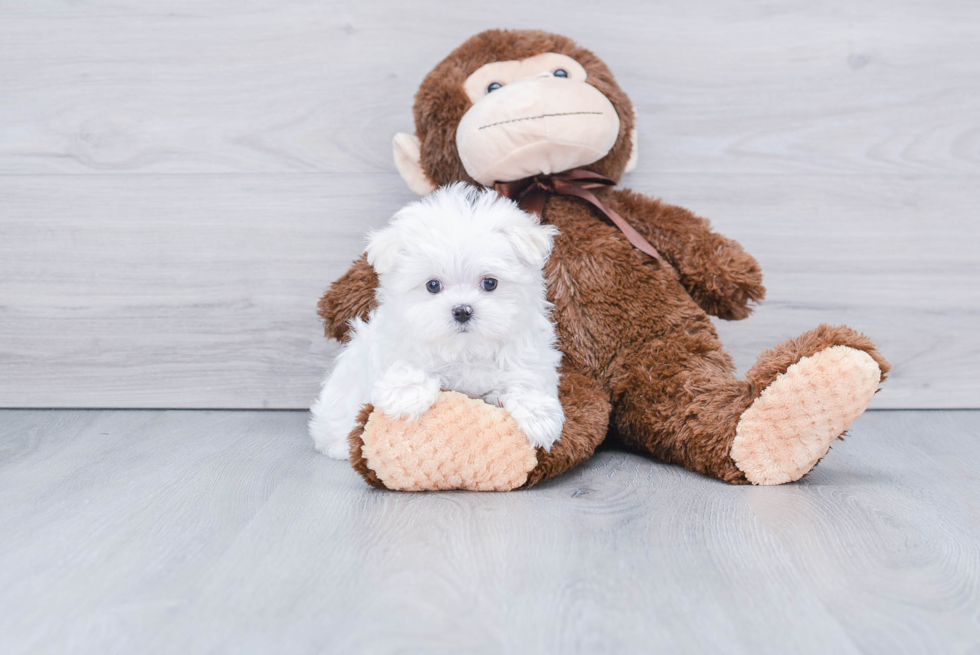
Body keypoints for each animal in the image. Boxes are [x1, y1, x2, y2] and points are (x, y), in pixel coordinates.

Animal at [306, 183, 568, 462]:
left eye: (490, 283)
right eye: (433, 285)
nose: (462, 310)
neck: (465, 349)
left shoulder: (527, 353)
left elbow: (525, 379)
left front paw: (538, 415)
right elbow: (406, 363)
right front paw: (406, 393)